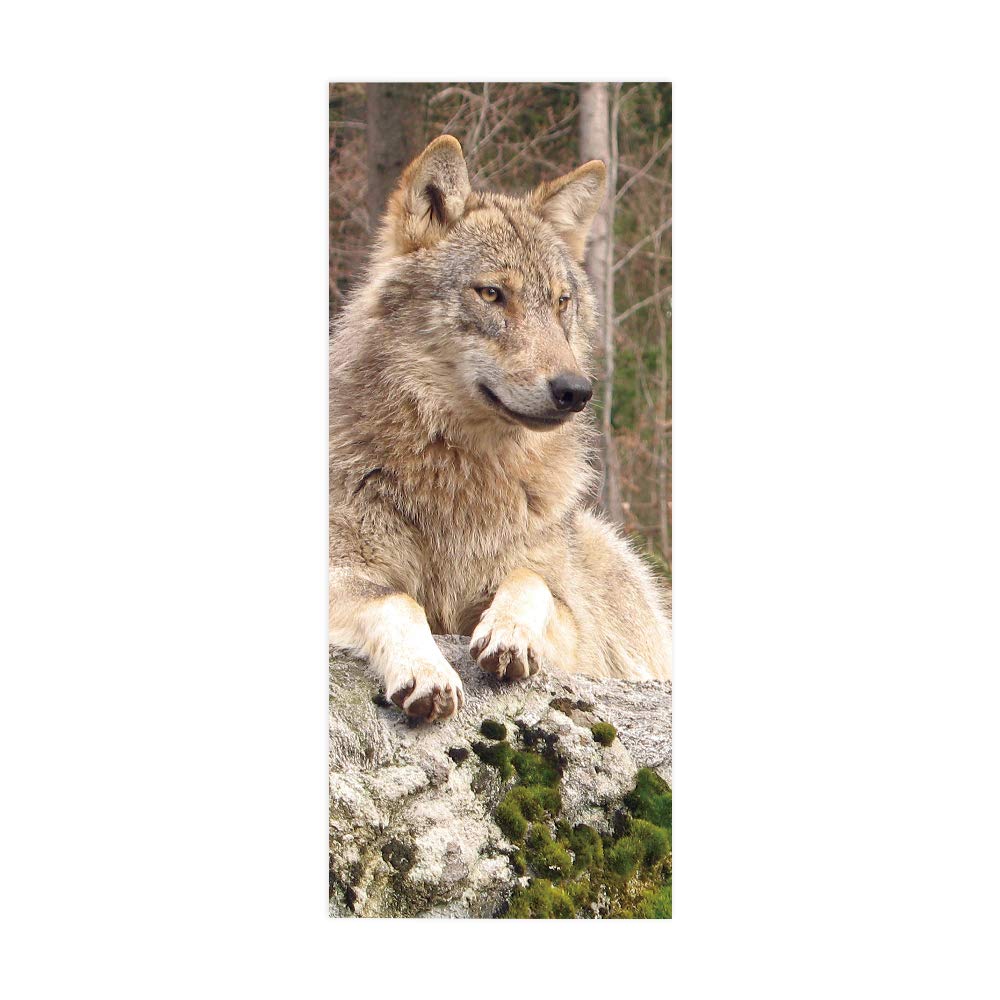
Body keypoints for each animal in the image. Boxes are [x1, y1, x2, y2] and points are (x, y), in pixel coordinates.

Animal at [330, 135, 671, 722]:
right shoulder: (340, 575)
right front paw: (425, 670)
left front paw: (509, 632)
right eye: (492, 294)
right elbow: (396, 599)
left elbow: (531, 581)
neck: (461, 472)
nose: (575, 391)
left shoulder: (573, 629)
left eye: (561, 301)